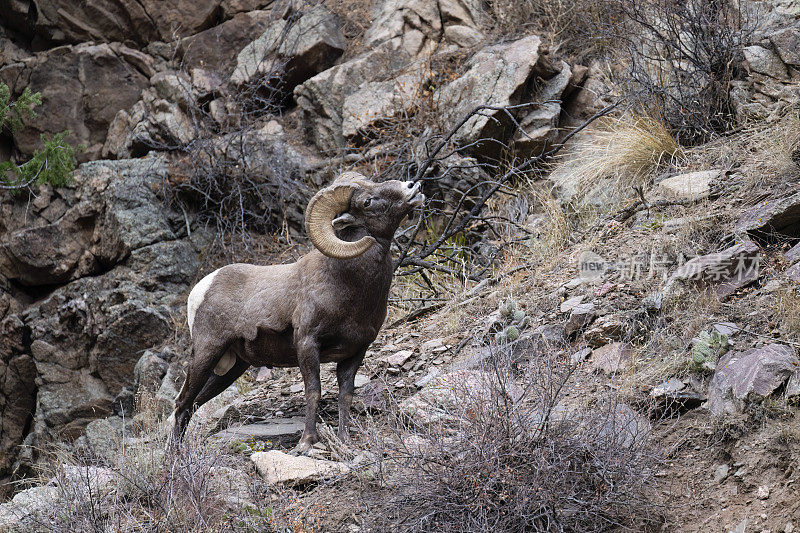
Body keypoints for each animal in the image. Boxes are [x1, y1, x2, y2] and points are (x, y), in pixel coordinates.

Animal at [173, 171, 424, 454]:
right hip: (206, 354)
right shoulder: (307, 344)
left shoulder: (356, 351)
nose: (412, 186)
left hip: (232, 368)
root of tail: (202, 288)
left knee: (193, 405)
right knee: (182, 404)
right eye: (367, 201)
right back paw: (175, 459)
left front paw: (345, 440)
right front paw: (306, 442)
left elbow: (345, 394)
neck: (347, 283)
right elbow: (313, 391)